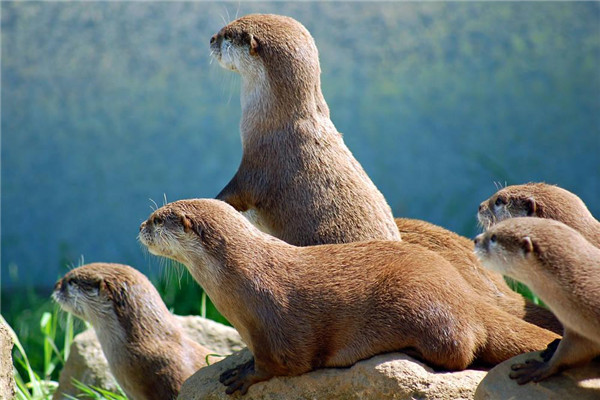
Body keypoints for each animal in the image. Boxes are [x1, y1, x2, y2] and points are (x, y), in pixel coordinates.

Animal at [138, 200, 560, 396]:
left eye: (159, 219)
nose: (140, 225)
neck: (243, 277)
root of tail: (464, 294)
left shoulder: (277, 324)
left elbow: (283, 362)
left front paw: (243, 375)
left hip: (423, 306)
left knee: (459, 351)